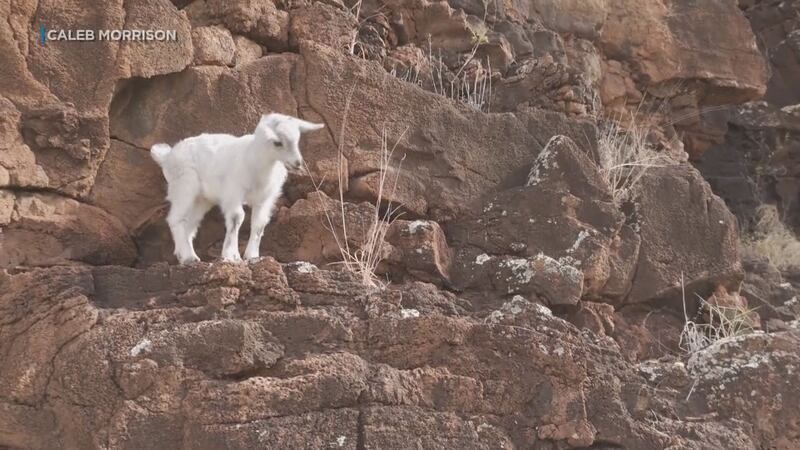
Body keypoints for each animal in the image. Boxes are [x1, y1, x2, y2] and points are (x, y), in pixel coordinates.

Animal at [150, 113, 325, 264]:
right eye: (278, 142)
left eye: (297, 140)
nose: (297, 163)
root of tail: (167, 156)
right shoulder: (233, 192)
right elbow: (237, 218)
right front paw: (231, 255)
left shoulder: (265, 198)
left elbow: (259, 224)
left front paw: (252, 256)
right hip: (183, 185)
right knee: (175, 219)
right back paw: (188, 258)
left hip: (201, 199)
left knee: (189, 225)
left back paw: (187, 255)